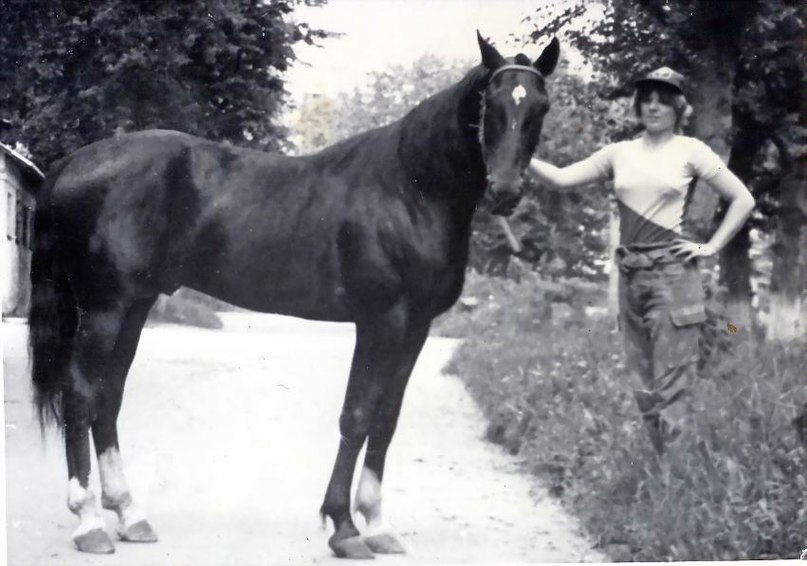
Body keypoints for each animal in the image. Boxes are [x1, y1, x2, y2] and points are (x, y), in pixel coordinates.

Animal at [28, 33, 560, 560]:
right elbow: (356, 415)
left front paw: (378, 524)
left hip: (134, 306)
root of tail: (72, 163)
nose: (505, 191)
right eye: (490, 103)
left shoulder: (416, 327)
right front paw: (344, 527)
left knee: (108, 397)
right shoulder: (380, 321)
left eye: (540, 106)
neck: (410, 189)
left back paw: (130, 514)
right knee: (80, 394)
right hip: (104, 308)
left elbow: (386, 419)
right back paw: (89, 522)